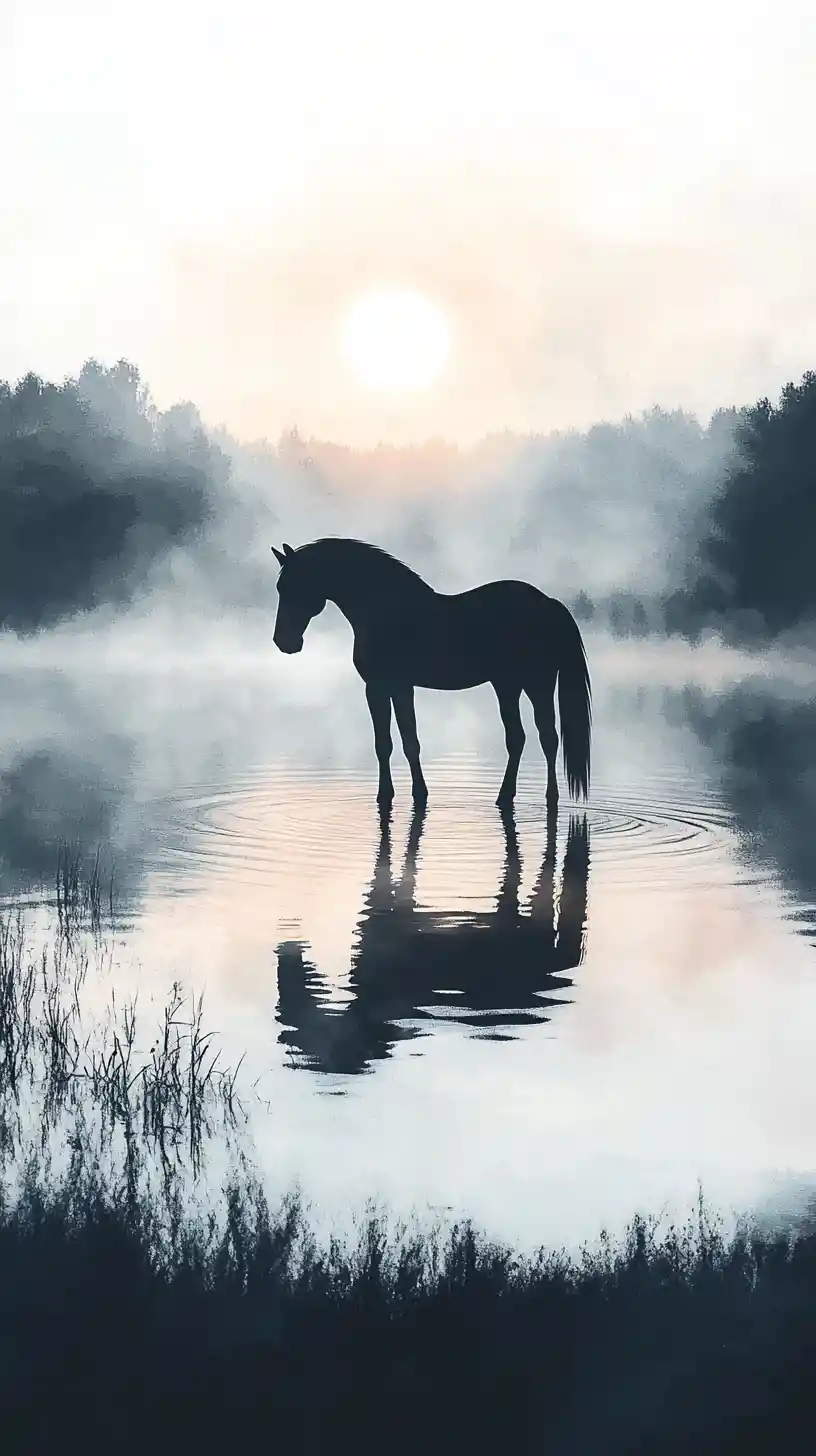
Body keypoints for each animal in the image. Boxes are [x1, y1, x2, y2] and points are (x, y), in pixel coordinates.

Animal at [271, 537, 592, 808]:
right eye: (280, 588)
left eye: (293, 586)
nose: (283, 642)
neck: (384, 610)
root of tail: (549, 603)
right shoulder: (392, 688)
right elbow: (397, 742)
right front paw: (405, 794)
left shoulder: (382, 687)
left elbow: (396, 743)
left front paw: (399, 795)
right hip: (507, 685)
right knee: (518, 738)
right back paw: (503, 797)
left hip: (538, 684)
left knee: (548, 737)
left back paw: (550, 798)